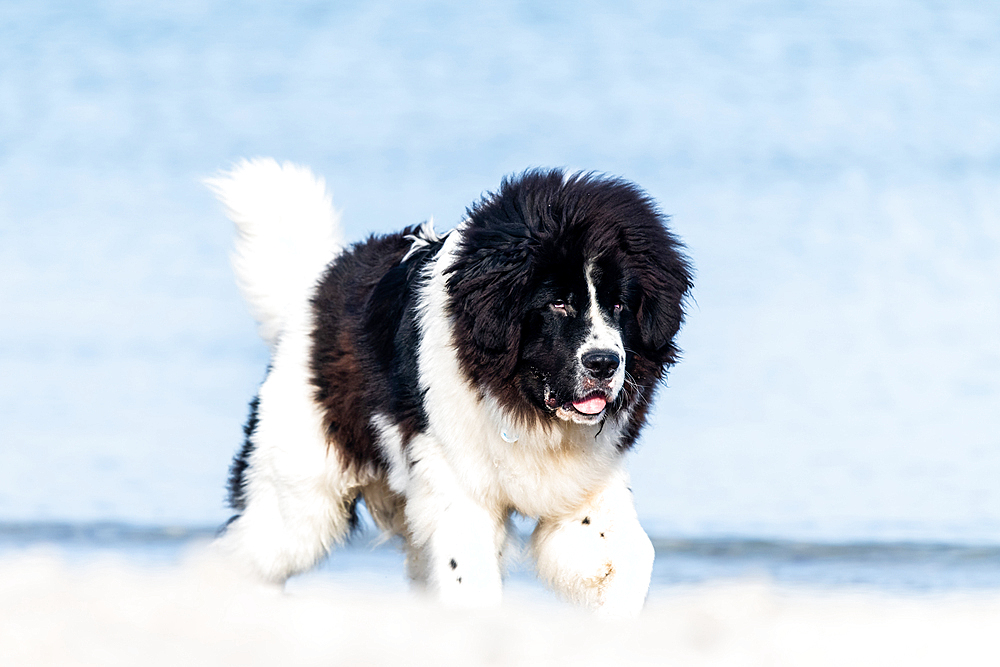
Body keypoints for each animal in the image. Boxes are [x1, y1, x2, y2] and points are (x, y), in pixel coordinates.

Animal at [209, 159, 696, 620]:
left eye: (619, 304)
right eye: (558, 302)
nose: (604, 362)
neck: (520, 401)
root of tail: (316, 293)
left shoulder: (583, 484)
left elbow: (632, 556)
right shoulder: (460, 487)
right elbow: (471, 579)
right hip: (301, 495)